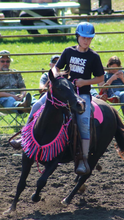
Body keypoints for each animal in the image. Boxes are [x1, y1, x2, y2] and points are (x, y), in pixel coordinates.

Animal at [6, 69, 124, 212]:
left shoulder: (54, 161)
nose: (81, 104)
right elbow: (21, 183)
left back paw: (67, 199)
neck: (45, 129)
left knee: (85, 175)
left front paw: (36, 197)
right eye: (59, 88)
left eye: (73, 87)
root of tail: (112, 109)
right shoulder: (27, 156)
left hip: (97, 152)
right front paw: (11, 209)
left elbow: (41, 181)